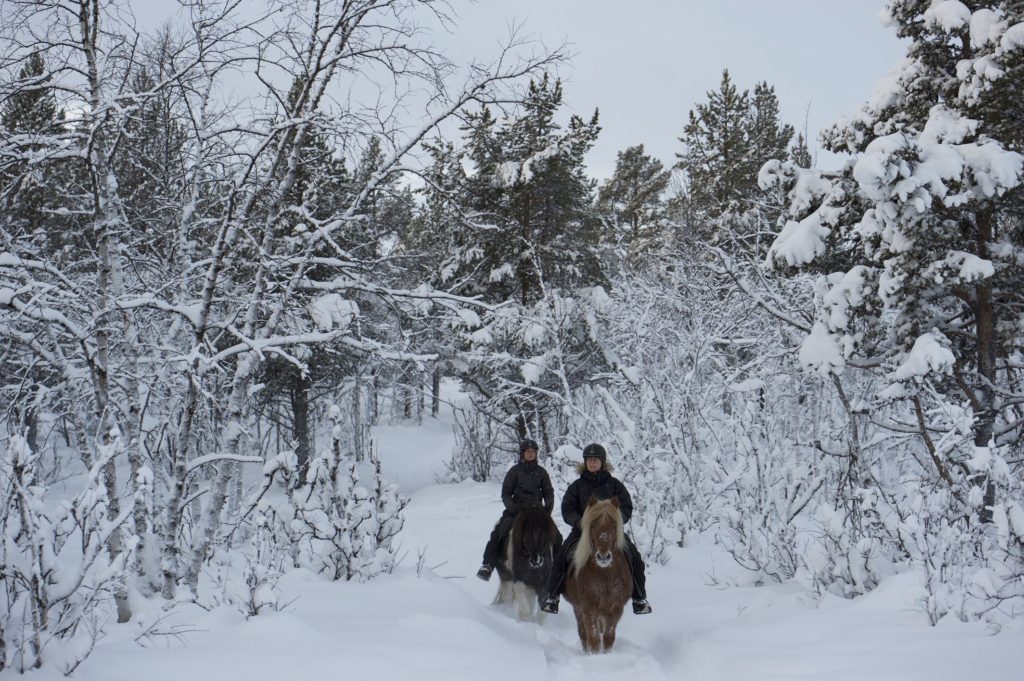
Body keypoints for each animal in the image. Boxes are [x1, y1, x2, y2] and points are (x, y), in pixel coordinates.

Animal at [561, 493, 630, 655]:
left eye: (613, 525)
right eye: (593, 525)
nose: (603, 557)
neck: (605, 574)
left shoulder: (616, 607)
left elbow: (608, 637)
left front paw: (607, 655)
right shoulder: (588, 607)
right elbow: (593, 639)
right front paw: (594, 656)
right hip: (578, 609)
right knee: (583, 633)